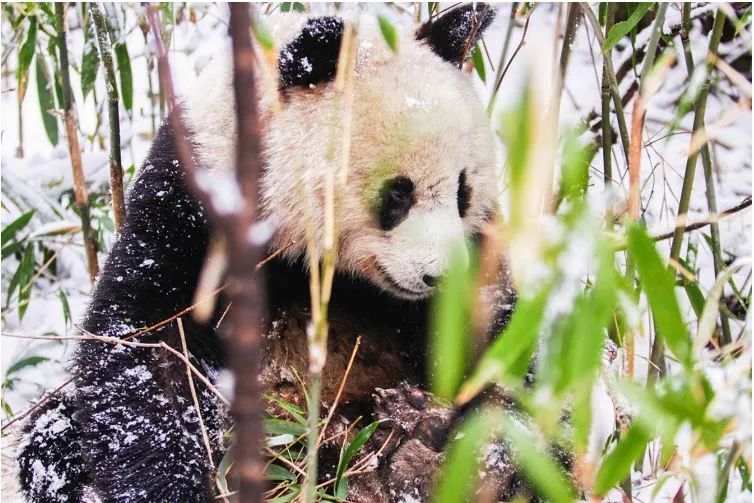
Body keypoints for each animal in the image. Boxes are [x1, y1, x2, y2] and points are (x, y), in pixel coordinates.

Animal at [14, 4, 524, 503]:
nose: (442, 275)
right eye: (397, 194)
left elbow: (496, 344)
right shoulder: (188, 203)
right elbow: (146, 344)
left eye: (462, 191)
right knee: (49, 438)